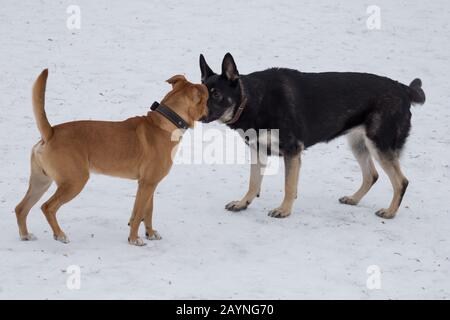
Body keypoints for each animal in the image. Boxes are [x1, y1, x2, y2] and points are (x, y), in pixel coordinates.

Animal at [14, 69, 208, 246]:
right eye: (207, 99)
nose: (210, 109)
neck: (167, 122)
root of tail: (51, 133)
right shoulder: (147, 184)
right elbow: (139, 214)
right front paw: (134, 239)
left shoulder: (149, 184)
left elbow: (147, 212)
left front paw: (150, 233)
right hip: (74, 181)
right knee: (48, 207)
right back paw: (60, 235)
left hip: (41, 182)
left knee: (21, 208)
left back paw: (25, 235)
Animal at [200, 53, 426, 220]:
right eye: (199, 94)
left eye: (216, 95)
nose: (197, 116)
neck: (253, 99)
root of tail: (403, 88)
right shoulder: (259, 151)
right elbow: (253, 183)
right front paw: (242, 203)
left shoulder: (292, 152)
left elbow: (288, 185)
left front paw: (284, 210)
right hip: (359, 144)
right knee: (372, 175)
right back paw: (353, 199)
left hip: (379, 145)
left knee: (401, 181)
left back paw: (390, 212)